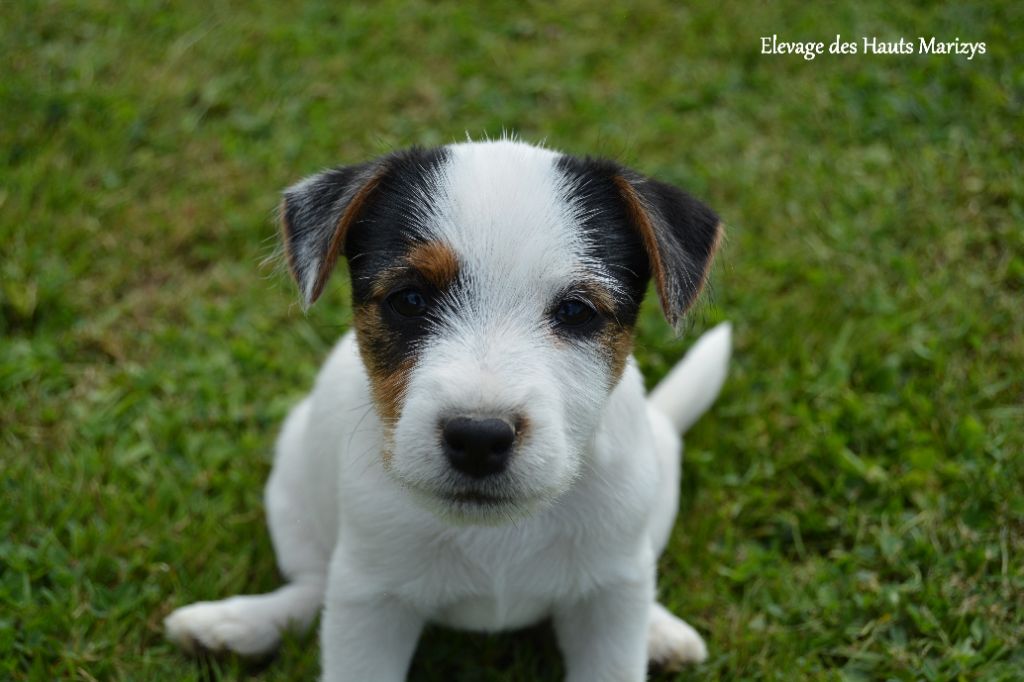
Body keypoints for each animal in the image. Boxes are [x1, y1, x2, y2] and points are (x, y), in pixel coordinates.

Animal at [164, 139, 731, 681]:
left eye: (576, 311)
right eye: (410, 299)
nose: (479, 438)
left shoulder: (610, 598)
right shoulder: (370, 599)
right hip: (293, 491)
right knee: (312, 586)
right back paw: (236, 624)